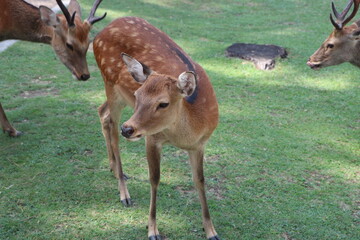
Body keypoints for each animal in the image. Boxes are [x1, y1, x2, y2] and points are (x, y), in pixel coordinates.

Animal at [93, 17, 221, 240]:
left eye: (163, 103)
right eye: (138, 95)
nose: (128, 129)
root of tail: (101, 31)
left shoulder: (200, 144)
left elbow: (200, 180)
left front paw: (211, 231)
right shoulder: (152, 138)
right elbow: (154, 179)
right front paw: (152, 230)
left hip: (118, 96)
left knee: (103, 112)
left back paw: (114, 169)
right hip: (110, 84)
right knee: (112, 128)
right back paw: (124, 194)